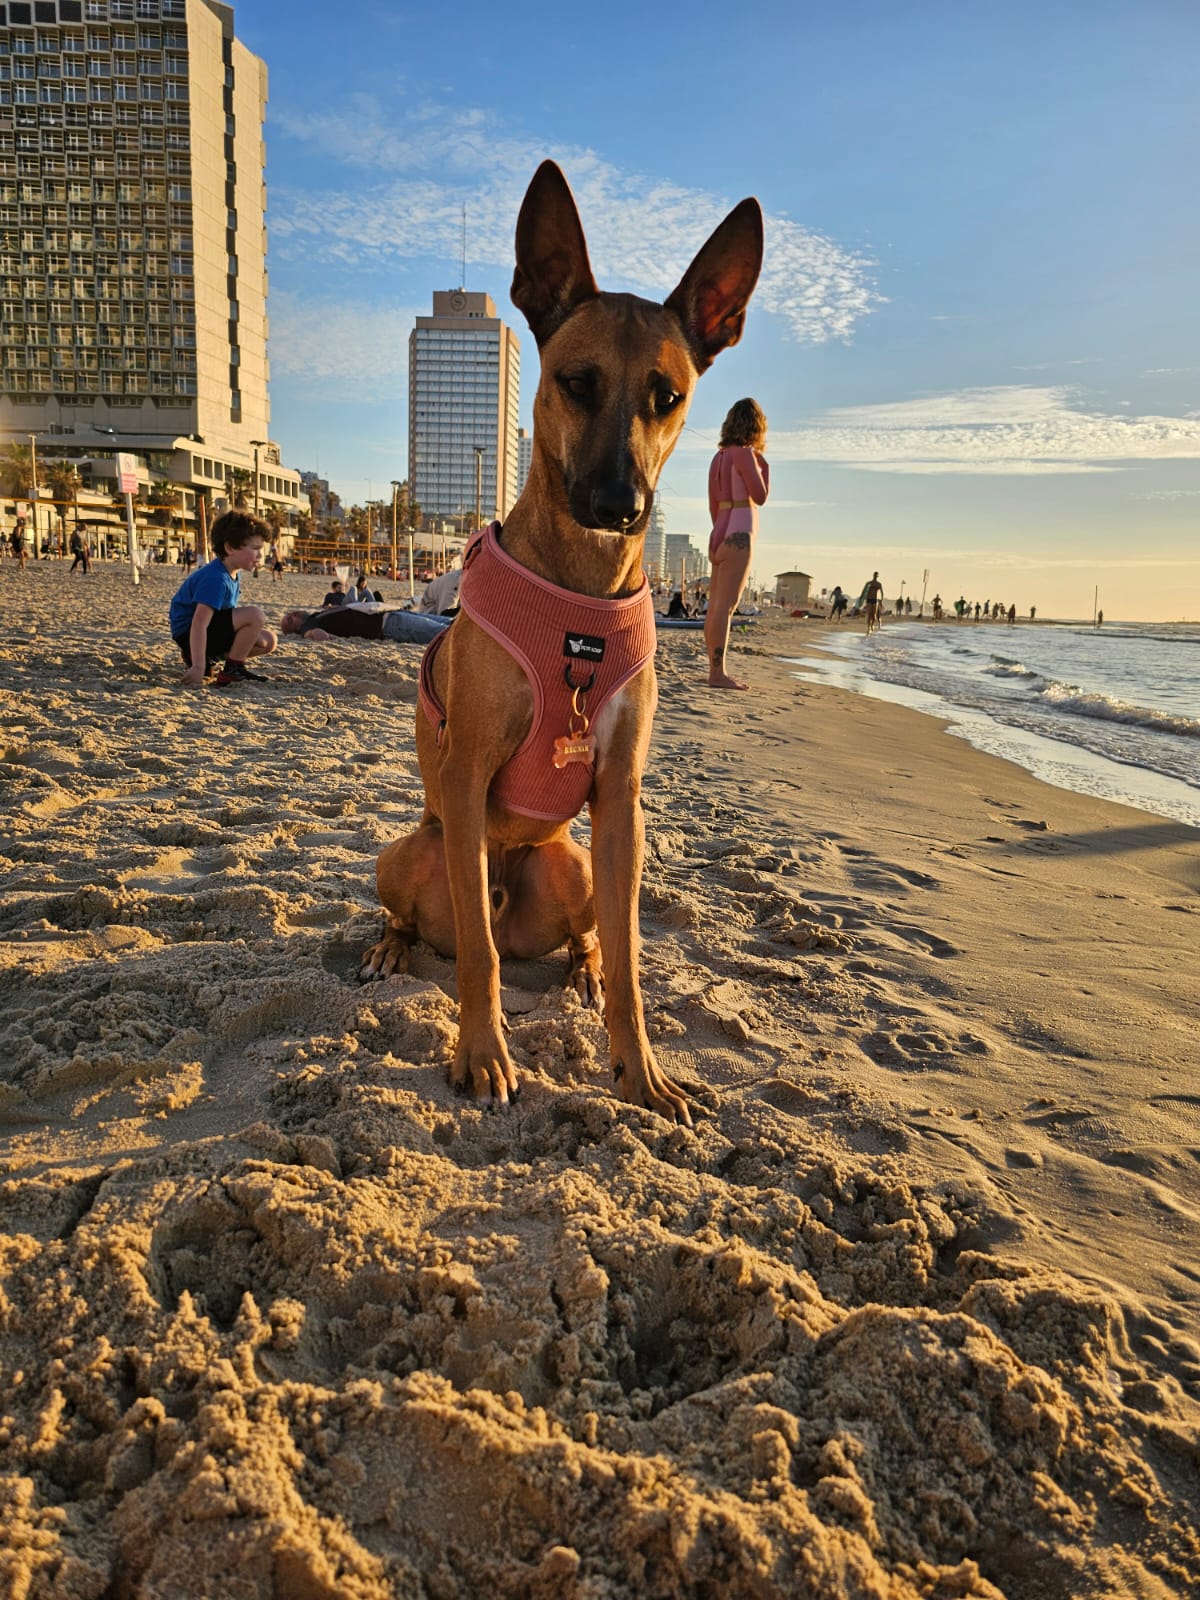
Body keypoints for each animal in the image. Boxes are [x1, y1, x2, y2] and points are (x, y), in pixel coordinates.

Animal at [361, 156, 764, 1120]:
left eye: (669, 397)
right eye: (577, 381)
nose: (622, 507)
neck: (581, 599)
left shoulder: (620, 804)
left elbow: (630, 955)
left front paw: (640, 1068)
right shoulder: (466, 775)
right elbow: (476, 955)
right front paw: (482, 1051)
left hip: (572, 865)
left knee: (581, 936)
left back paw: (579, 971)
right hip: (413, 847)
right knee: (444, 921)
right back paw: (393, 946)